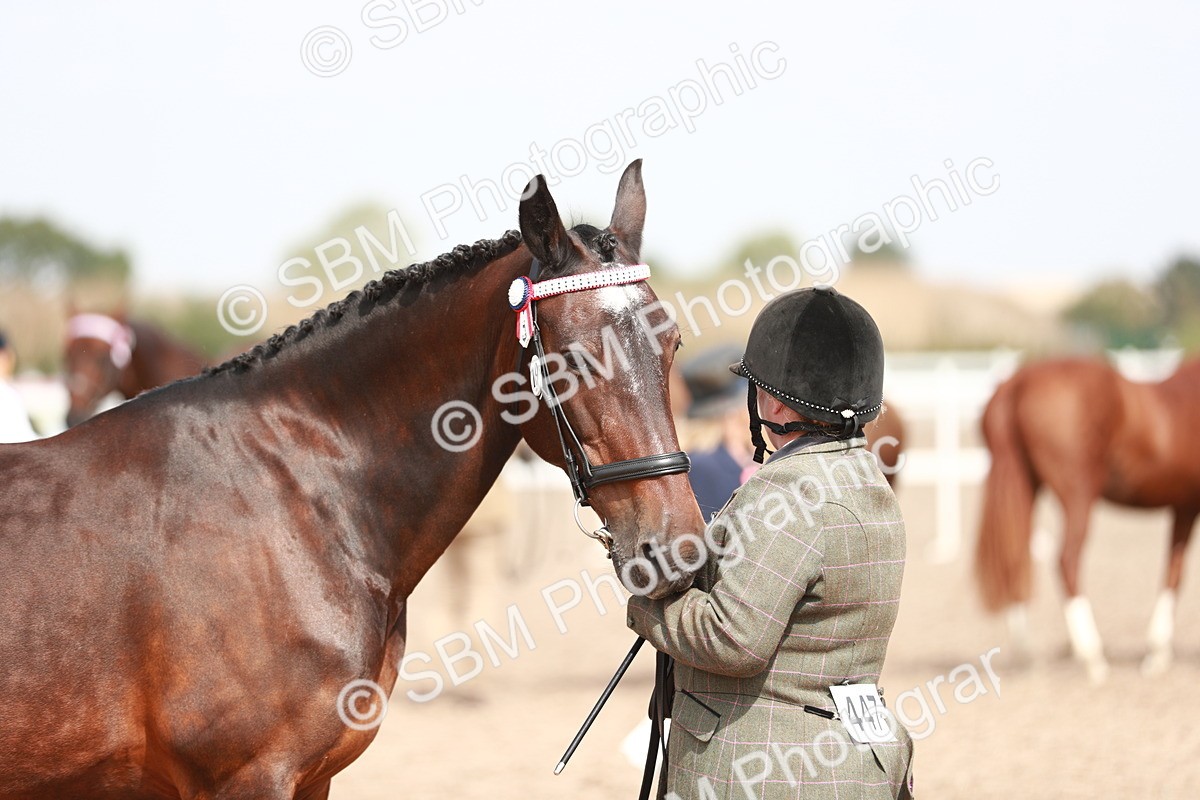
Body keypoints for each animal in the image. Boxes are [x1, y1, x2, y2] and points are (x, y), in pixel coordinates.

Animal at [975, 356, 1200, 683]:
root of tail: (1016, 382)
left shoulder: (1184, 506)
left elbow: (1173, 571)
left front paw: (1157, 656)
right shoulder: (1187, 506)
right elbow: (1176, 573)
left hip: (1023, 486)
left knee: (1013, 561)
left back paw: (1028, 656)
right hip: (1078, 494)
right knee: (1067, 560)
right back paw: (1093, 657)